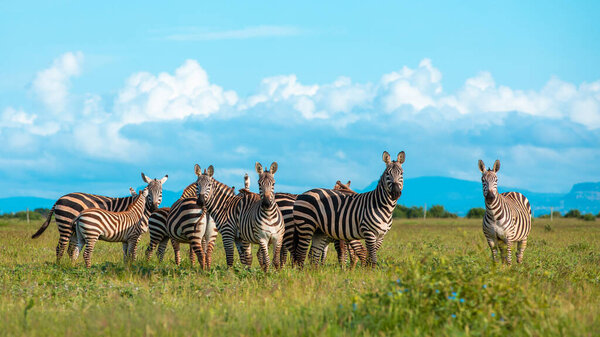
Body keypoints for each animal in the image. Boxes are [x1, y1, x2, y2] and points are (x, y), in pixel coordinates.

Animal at [31, 173, 168, 262]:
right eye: (149, 193)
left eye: (160, 192)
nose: (154, 207)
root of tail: (59, 199)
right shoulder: (135, 235)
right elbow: (132, 254)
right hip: (66, 225)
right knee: (60, 248)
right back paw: (59, 266)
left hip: (75, 231)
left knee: (71, 249)